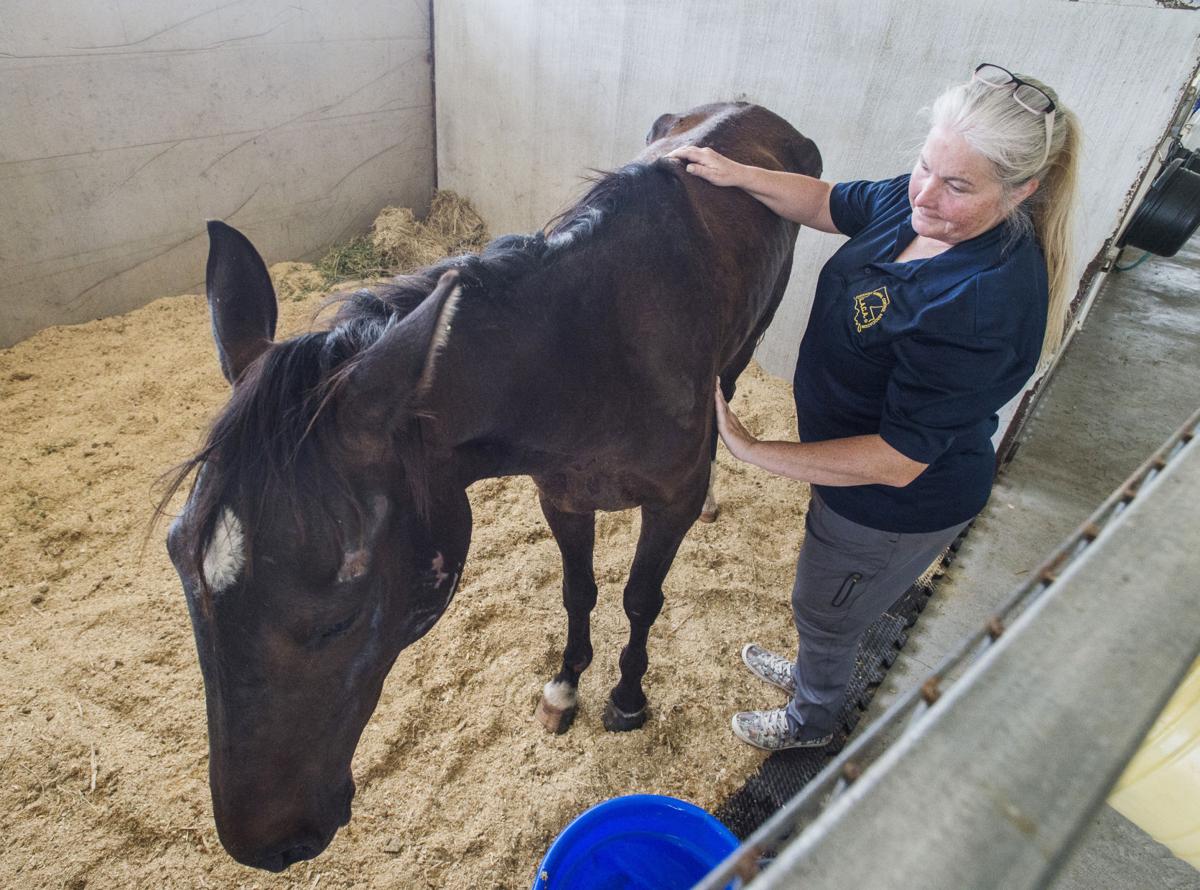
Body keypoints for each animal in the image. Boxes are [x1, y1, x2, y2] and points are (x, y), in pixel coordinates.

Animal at [164, 102, 820, 873]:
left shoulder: (668, 505)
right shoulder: (562, 495)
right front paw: (564, 689)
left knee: (731, 385)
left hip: (753, 334)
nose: (261, 843)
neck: (593, 352)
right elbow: (579, 591)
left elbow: (639, 599)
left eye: (338, 619)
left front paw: (627, 698)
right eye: (179, 557)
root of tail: (757, 111)